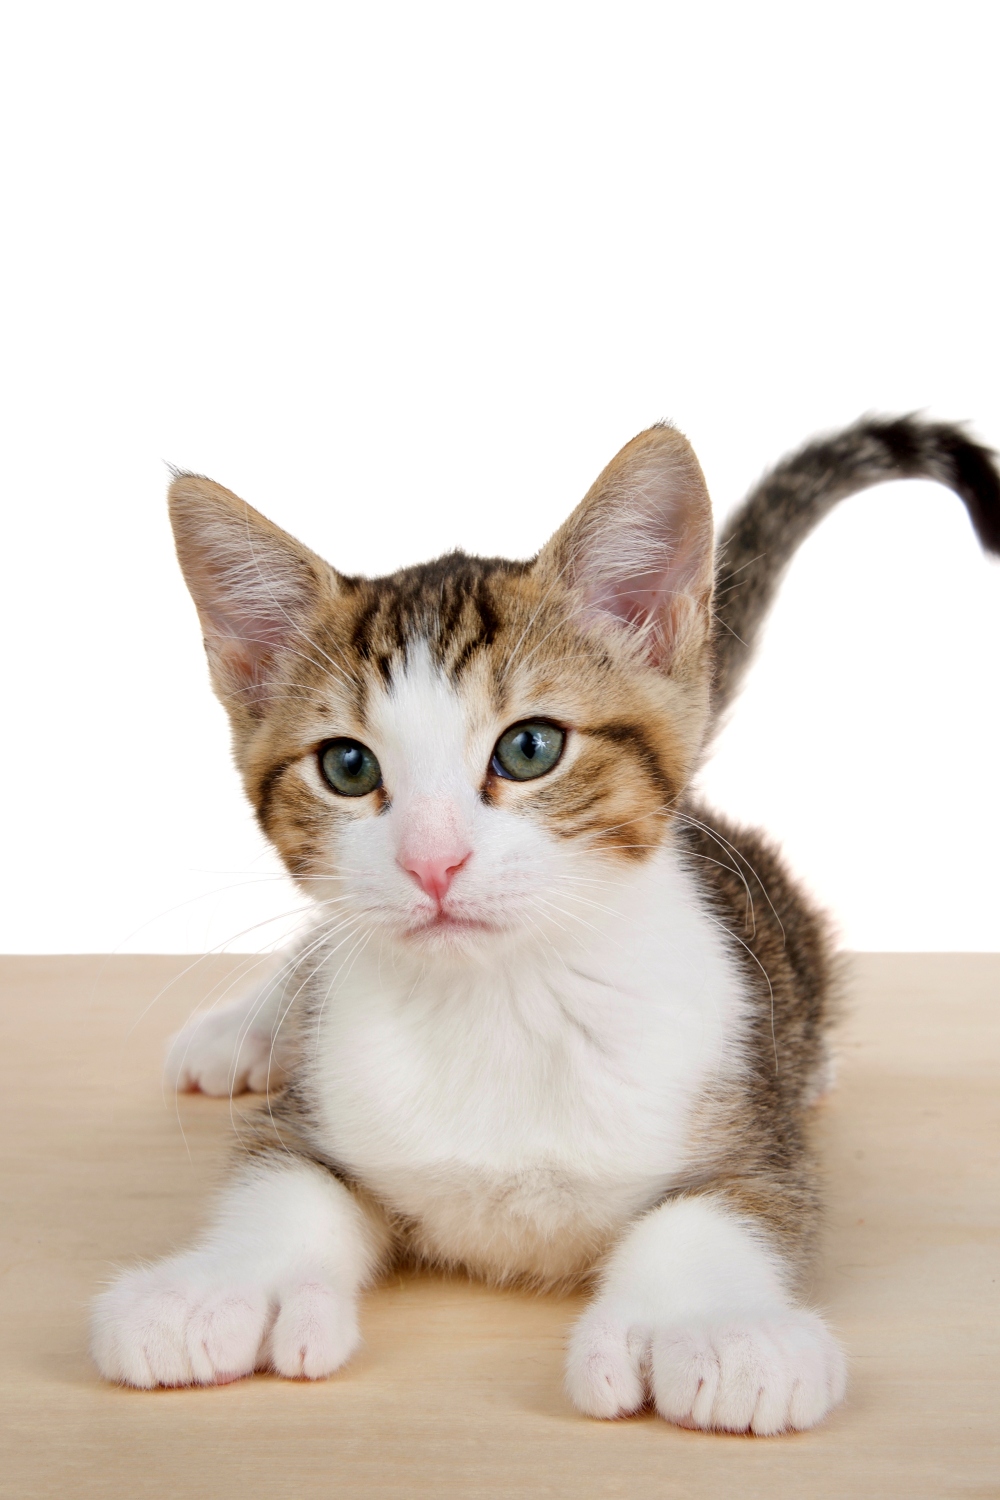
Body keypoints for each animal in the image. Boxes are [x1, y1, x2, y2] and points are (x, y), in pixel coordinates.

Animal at [89, 417, 995, 1434]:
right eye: (348, 766)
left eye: (530, 748)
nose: (432, 862)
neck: (502, 1004)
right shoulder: (315, 1118)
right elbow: (281, 1184)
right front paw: (214, 1291)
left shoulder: (755, 1135)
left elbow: (716, 1211)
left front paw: (716, 1330)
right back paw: (244, 1029)